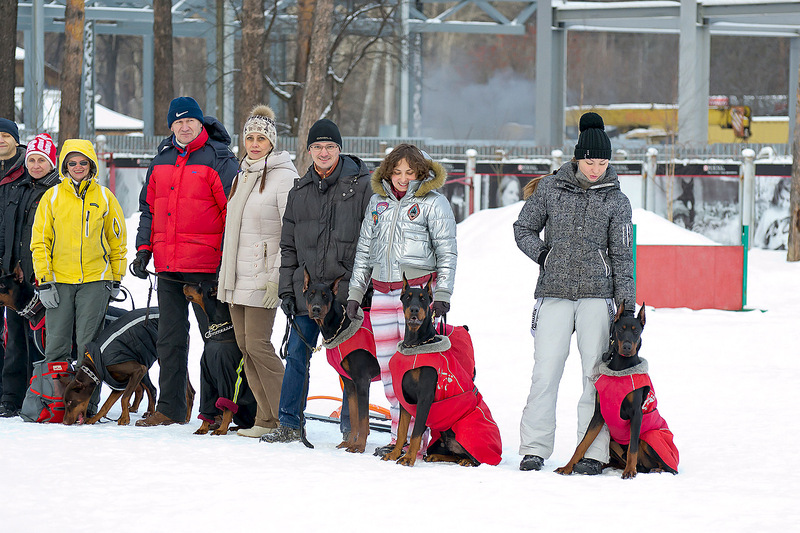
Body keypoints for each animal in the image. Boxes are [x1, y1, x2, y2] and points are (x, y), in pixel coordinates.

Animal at [183, 280, 255, 434]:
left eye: (199, 284)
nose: (184, 284)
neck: (218, 332)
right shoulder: (206, 376)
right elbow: (207, 405)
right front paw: (203, 428)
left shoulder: (228, 376)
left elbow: (227, 407)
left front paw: (221, 429)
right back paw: (238, 427)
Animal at [304, 268, 382, 450]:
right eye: (310, 294)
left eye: (325, 295)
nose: (316, 309)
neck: (338, 327)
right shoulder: (349, 382)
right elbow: (354, 417)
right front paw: (349, 442)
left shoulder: (362, 381)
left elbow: (363, 418)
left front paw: (359, 446)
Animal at [556, 302, 680, 480]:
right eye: (621, 329)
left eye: (636, 330)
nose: (627, 347)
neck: (621, 368)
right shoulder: (599, 413)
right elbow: (582, 444)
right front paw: (567, 467)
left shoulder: (636, 413)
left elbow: (632, 447)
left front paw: (629, 471)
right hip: (612, 441)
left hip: (650, 437)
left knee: (670, 468)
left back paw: (652, 469)